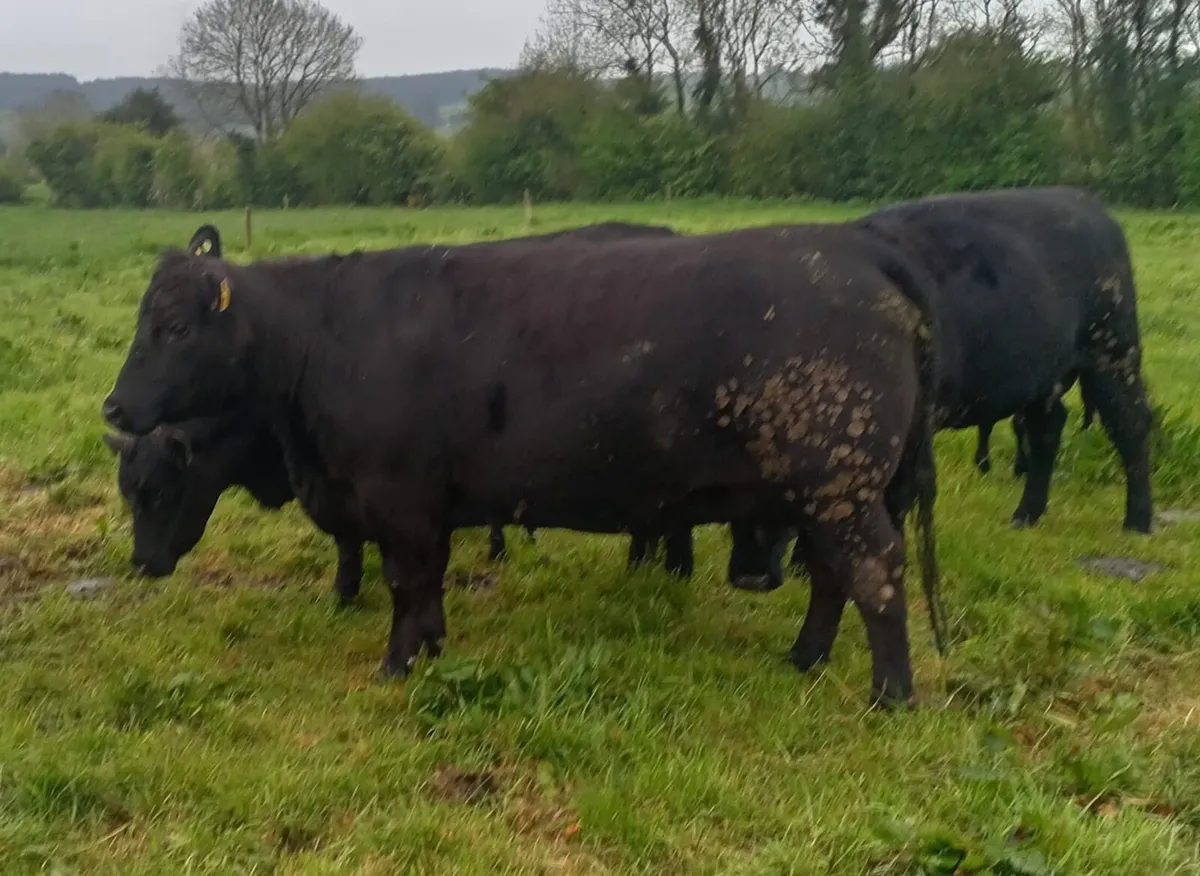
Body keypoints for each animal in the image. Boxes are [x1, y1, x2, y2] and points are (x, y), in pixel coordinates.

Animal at [101, 224, 946, 708]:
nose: (112, 405)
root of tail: (856, 253)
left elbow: (407, 585)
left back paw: (891, 695)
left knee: (875, 574)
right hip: (823, 492)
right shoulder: (423, 509)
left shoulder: (401, 501)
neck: (325, 337)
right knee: (834, 575)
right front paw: (432, 648)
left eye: (175, 327)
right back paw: (805, 657)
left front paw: (397, 665)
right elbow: (427, 587)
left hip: (839, 485)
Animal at [855, 185, 1152, 533]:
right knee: (1046, 430)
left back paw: (1138, 520)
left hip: (1113, 353)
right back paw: (1026, 514)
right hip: (1043, 377)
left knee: (1130, 424)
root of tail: (1081, 200)